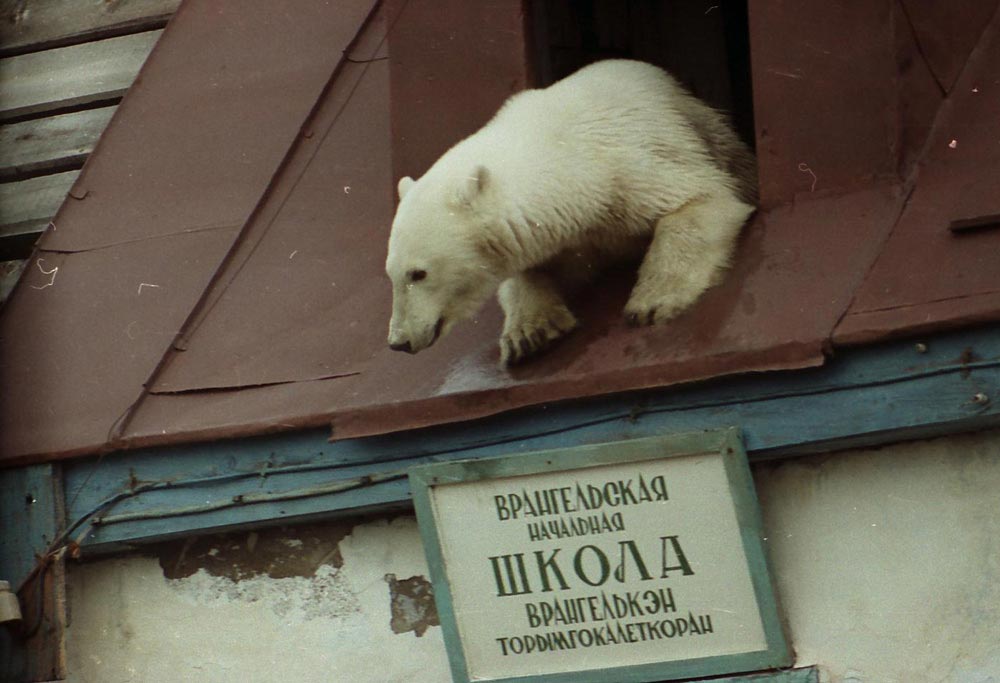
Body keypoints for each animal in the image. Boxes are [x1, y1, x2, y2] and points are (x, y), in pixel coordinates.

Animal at [385, 59, 756, 366]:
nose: (398, 342)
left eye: (418, 273)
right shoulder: (570, 236)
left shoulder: (630, 171)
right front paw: (528, 334)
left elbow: (701, 199)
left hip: (704, 124)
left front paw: (652, 301)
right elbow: (533, 270)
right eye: (391, 273)